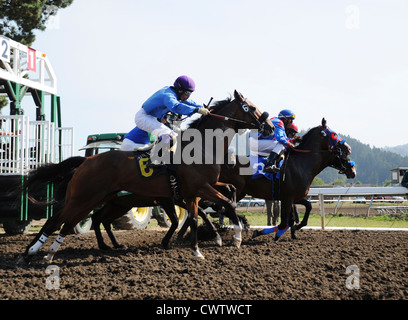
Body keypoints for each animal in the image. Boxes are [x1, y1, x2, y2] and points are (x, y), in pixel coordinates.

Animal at [19, 90, 274, 262]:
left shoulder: (195, 191)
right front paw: (235, 237)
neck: (202, 147)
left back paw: (44, 253)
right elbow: (225, 204)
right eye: (250, 107)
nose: (270, 127)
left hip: (97, 199)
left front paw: (200, 249)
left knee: (74, 221)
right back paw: (33, 253)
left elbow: (209, 207)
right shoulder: (198, 189)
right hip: (85, 197)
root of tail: (87, 160)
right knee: (59, 221)